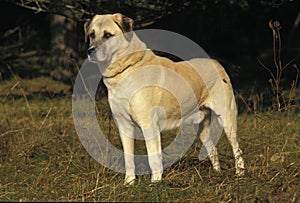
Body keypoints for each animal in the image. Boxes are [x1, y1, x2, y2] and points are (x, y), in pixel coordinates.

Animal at [83, 12, 245, 184]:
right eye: (92, 34)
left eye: (107, 35)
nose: (90, 51)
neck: (126, 69)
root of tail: (216, 63)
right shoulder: (124, 125)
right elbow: (128, 158)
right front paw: (129, 182)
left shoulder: (149, 124)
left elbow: (153, 157)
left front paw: (155, 182)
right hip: (201, 126)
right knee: (212, 149)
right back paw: (217, 173)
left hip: (227, 118)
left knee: (237, 148)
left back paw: (240, 174)